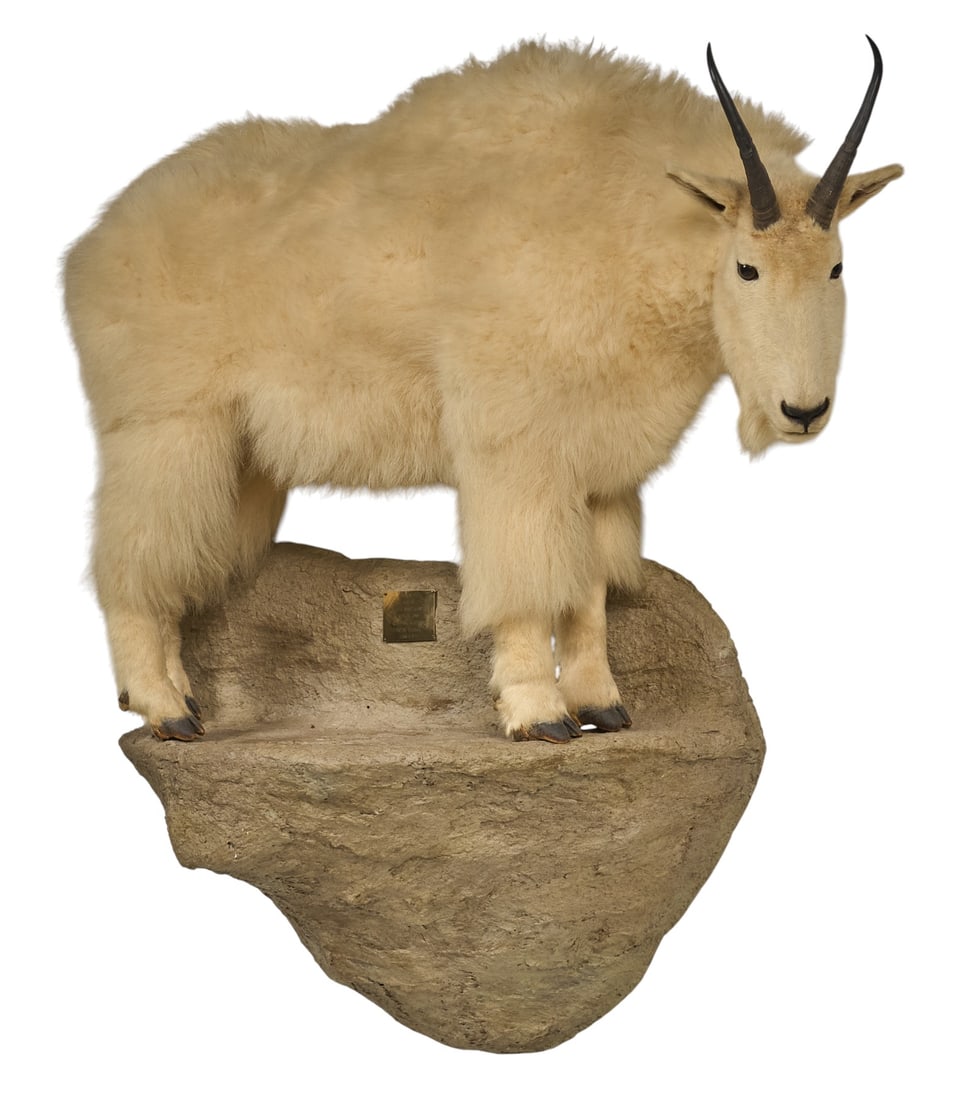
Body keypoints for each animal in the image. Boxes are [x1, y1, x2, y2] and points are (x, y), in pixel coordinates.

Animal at [64, 39, 902, 743]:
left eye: (834, 266)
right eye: (746, 268)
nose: (802, 412)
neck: (622, 231)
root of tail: (92, 244)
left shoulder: (594, 469)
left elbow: (588, 596)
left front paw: (601, 704)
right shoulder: (517, 454)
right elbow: (528, 586)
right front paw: (537, 713)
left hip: (242, 461)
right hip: (165, 430)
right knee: (131, 564)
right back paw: (164, 707)